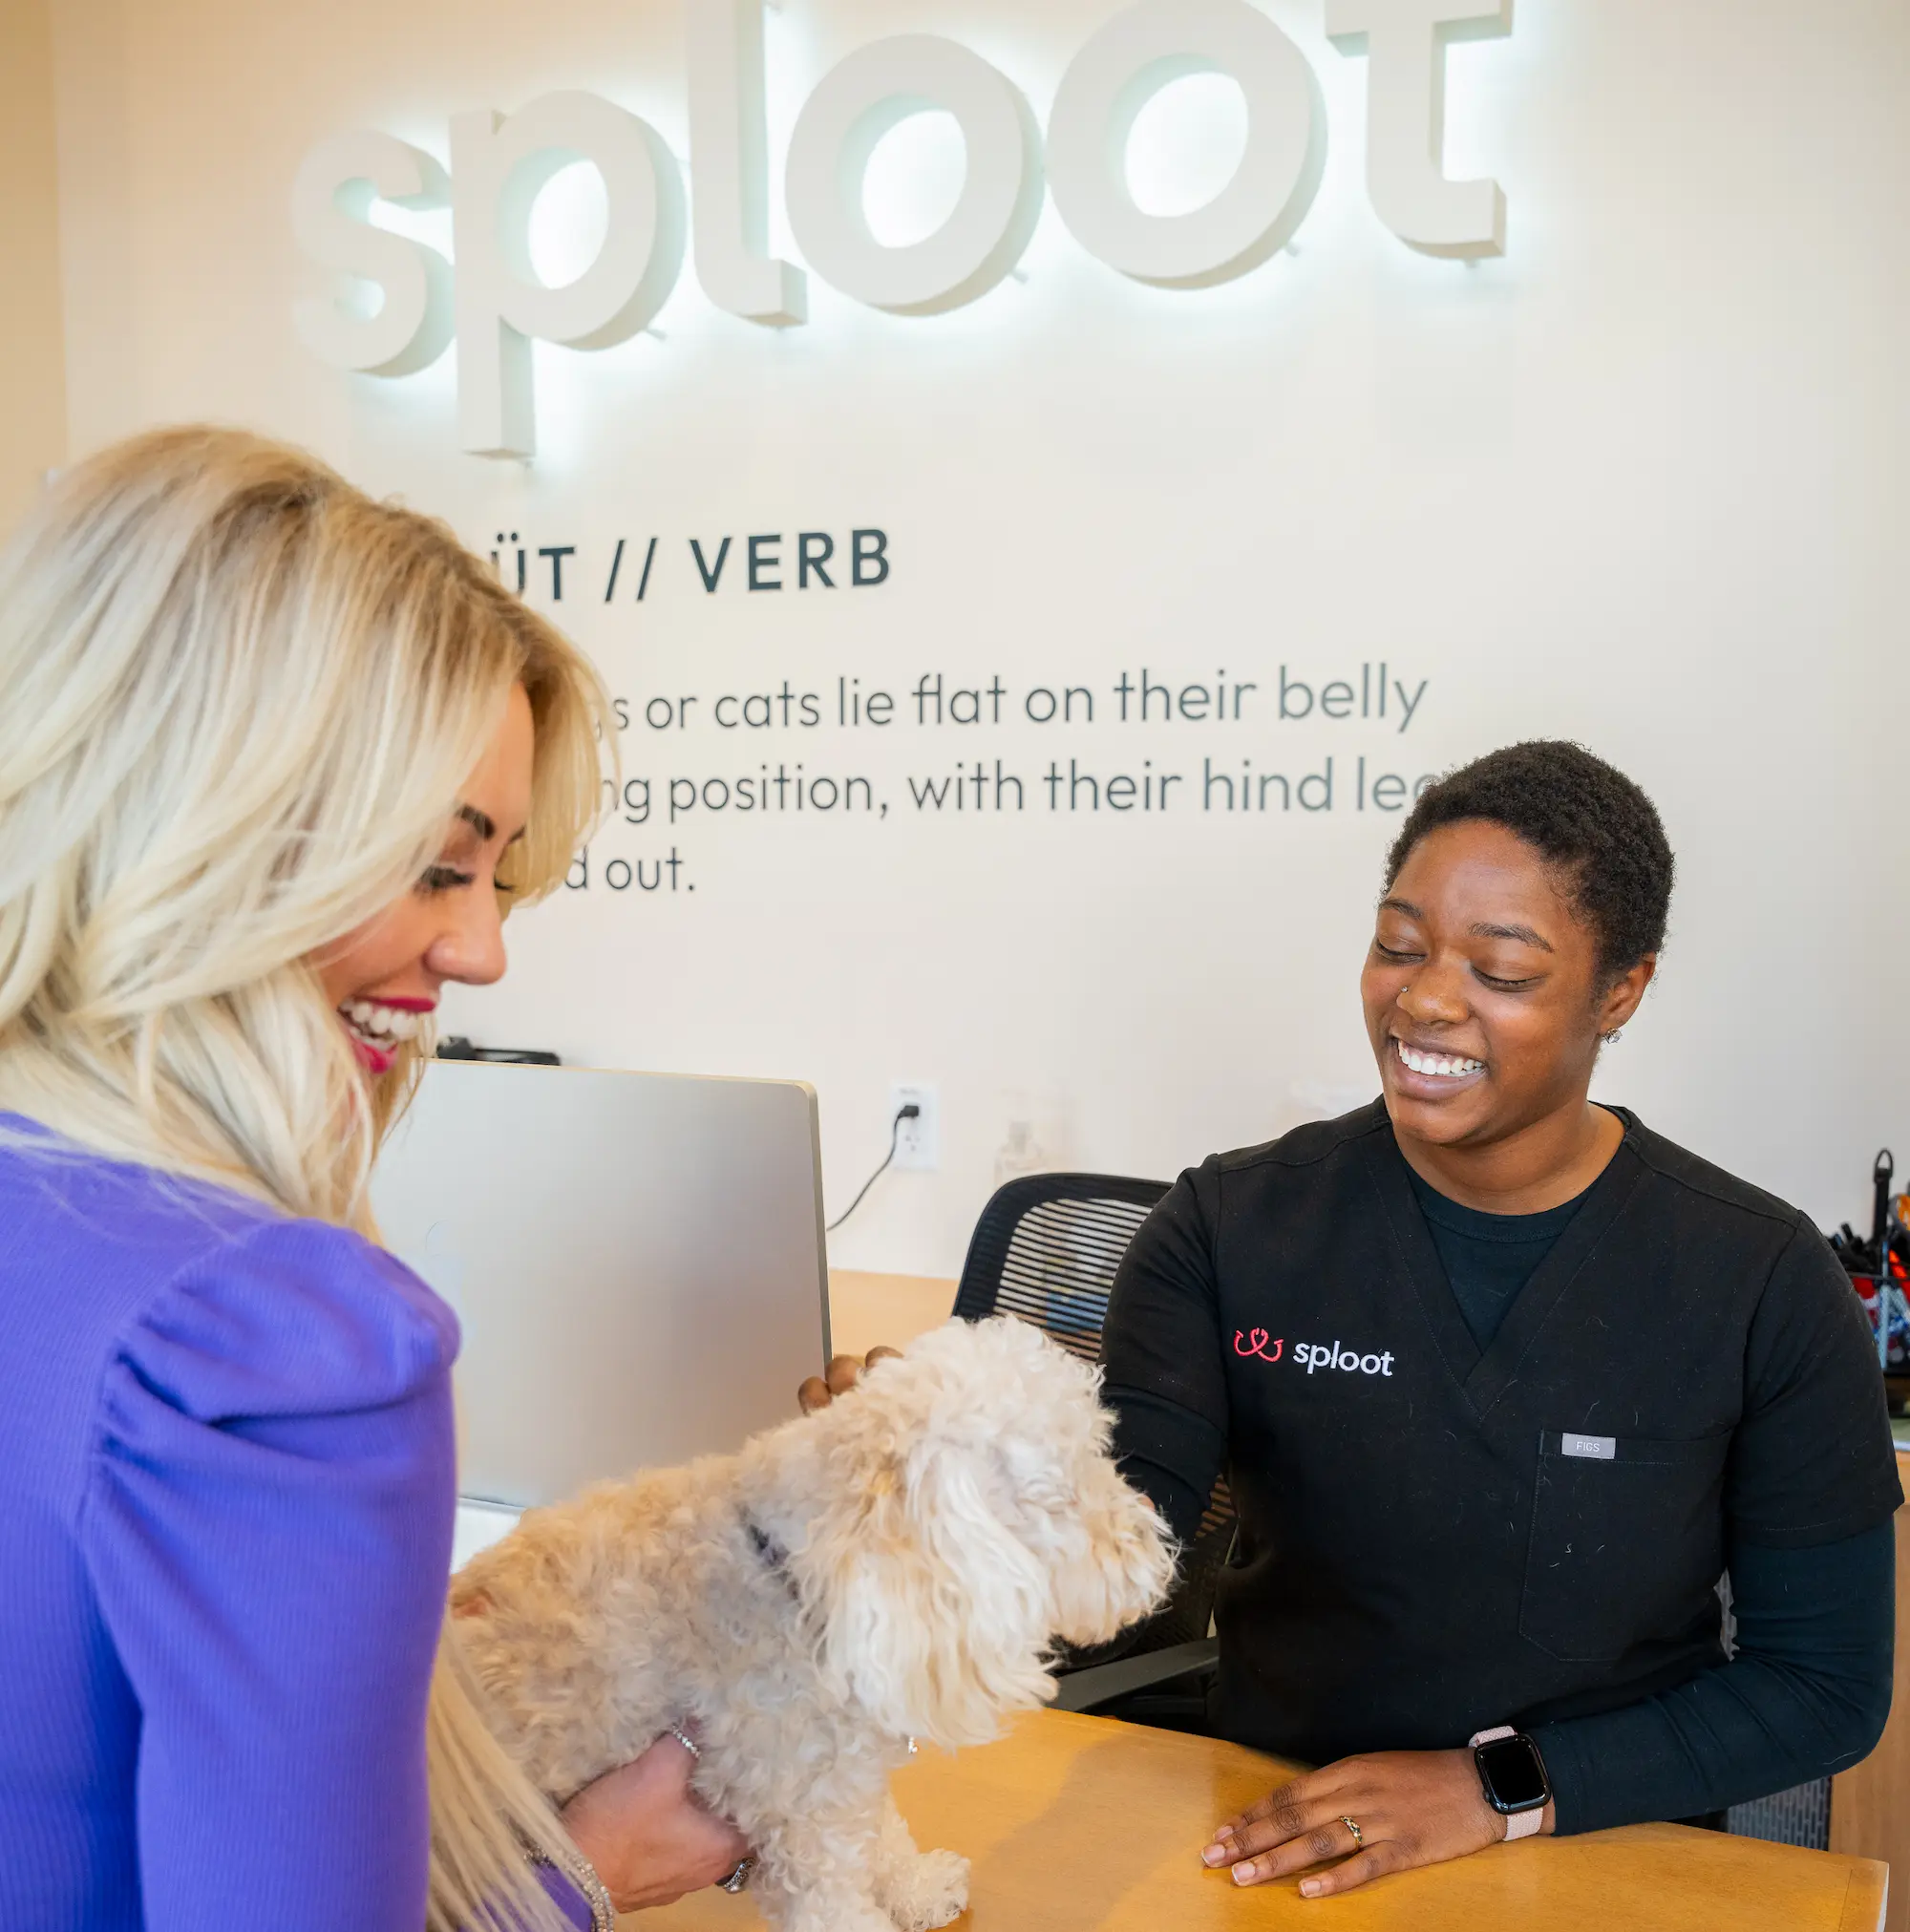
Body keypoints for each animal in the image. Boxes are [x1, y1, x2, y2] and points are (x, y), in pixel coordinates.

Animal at [442, 1315, 1176, 1932]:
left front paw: (916, 1885)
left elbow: (884, 1833)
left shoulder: (839, 1785)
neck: (796, 1584)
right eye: (1062, 1492)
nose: (1161, 1549)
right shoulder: (803, 1833)